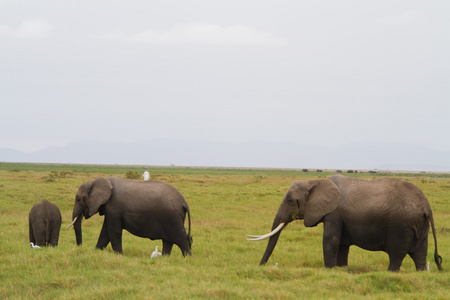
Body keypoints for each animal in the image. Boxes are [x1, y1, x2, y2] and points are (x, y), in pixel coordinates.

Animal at [250, 173, 442, 272]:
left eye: (290, 201)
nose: (261, 266)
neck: (315, 181)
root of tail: (427, 207)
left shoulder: (334, 213)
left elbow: (331, 240)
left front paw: (329, 270)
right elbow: (341, 244)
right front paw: (340, 270)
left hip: (400, 226)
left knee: (396, 253)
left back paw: (391, 273)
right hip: (419, 226)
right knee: (420, 254)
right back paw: (421, 273)